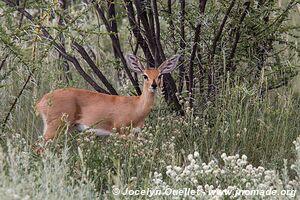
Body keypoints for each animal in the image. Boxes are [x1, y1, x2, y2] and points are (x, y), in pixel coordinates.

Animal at [35, 54, 180, 141]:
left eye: (160, 75)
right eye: (145, 75)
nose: (154, 85)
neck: (136, 107)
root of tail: (41, 102)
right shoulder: (121, 131)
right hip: (55, 127)